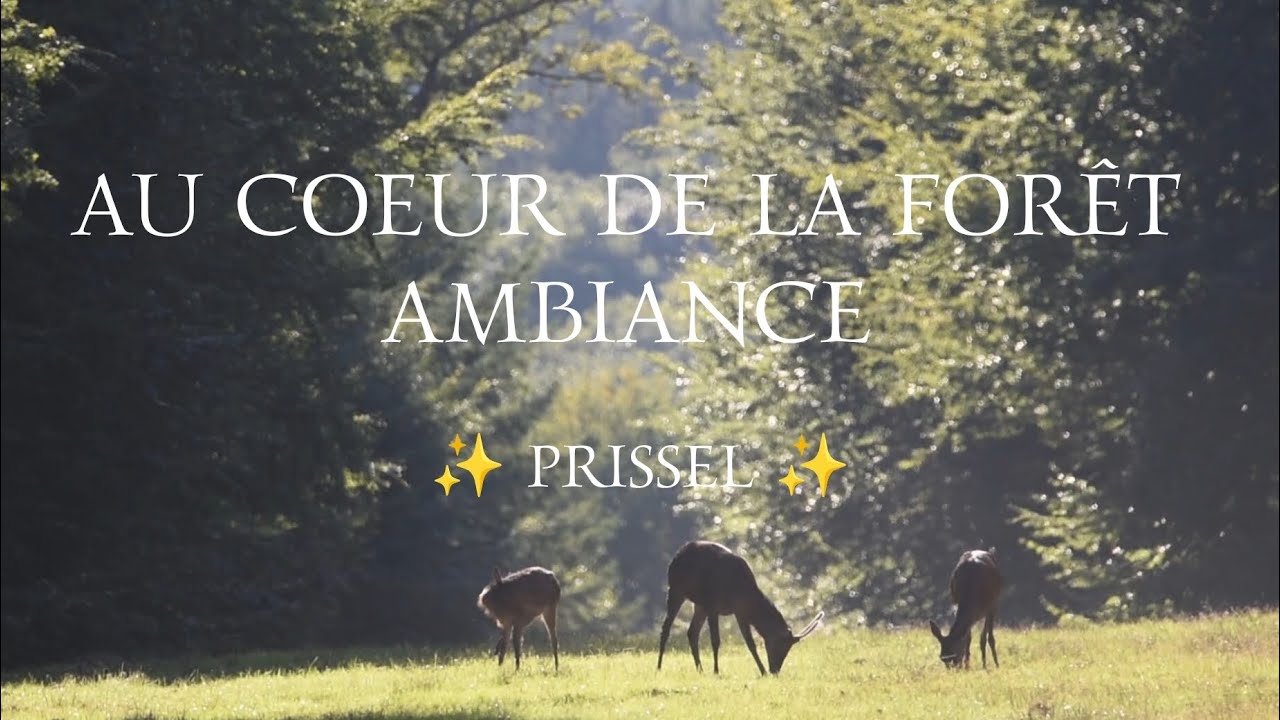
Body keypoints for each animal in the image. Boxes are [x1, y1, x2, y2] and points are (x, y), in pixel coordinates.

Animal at [657, 540, 823, 675]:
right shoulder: (713, 605)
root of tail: (677, 555)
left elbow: (750, 643)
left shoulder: (740, 611)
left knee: (692, 632)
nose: (775, 670)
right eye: (781, 645)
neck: (742, 592)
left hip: (699, 604)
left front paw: (762, 671)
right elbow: (716, 640)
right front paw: (716, 671)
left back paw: (700, 669)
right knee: (666, 628)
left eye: (788, 649)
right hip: (676, 589)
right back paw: (659, 667)